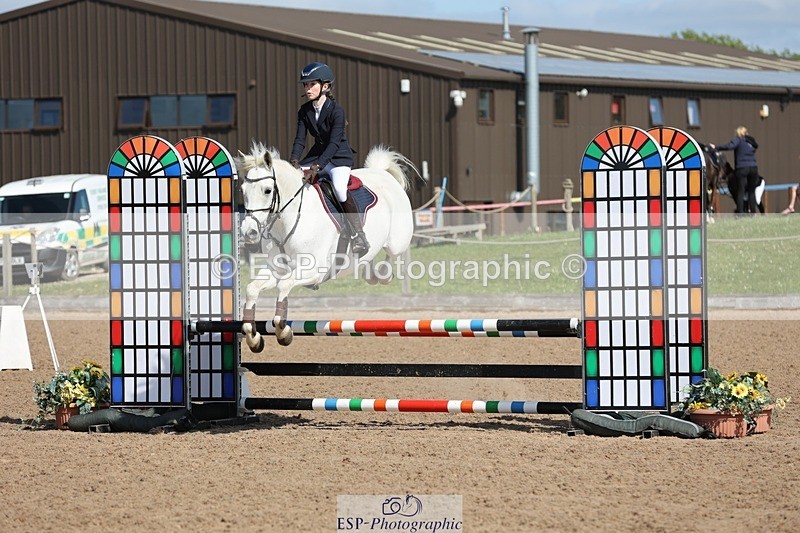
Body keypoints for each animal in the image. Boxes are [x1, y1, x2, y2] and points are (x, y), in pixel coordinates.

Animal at [237, 143, 417, 352]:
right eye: (243, 190)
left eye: (267, 190)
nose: (249, 232)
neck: (288, 221)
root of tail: (383, 174)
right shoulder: (276, 269)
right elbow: (252, 289)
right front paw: (253, 337)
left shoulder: (314, 271)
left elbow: (284, 285)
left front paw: (283, 332)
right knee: (369, 258)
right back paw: (368, 271)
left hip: (397, 241)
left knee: (391, 256)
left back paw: (381, 274)